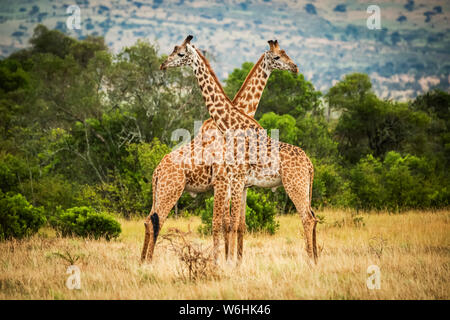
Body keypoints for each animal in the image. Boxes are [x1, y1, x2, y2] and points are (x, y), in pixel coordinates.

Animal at [144, 35, 316, 262]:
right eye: (278, 56)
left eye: (180, 53)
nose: (295, 67)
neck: (236, 120)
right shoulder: (231, 181)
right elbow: (229, 223)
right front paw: (227, 261)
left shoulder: (235, 181)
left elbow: (230, 223)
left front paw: (227, 261)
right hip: (168, 190)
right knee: (153, 220)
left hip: (295, 185)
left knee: (308, 217)